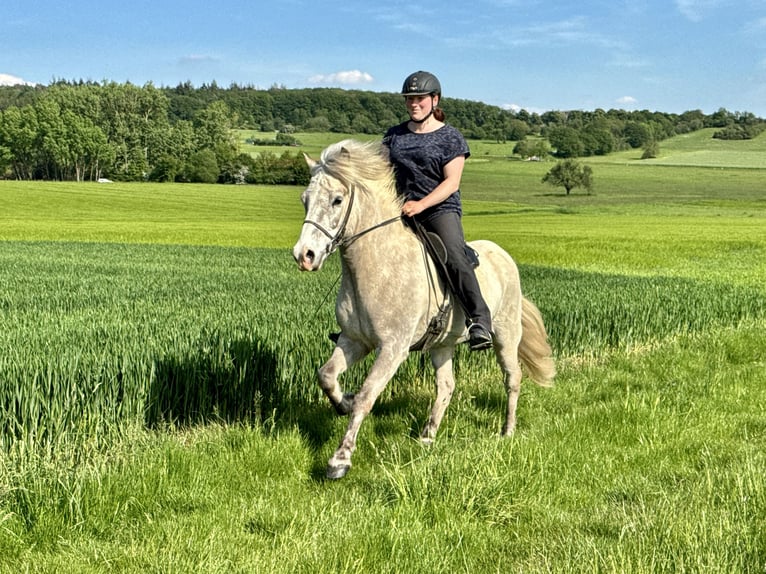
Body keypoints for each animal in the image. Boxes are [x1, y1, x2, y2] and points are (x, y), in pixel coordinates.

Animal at [294, 140, 560, 482]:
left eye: (337, 200)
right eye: (305, 199)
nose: (304, 256)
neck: (376, 266)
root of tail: (503, 255)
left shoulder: (393, 348)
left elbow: (367, 396)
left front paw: (340, 459)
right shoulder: (354, 340)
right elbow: (326, 376)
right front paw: (343, 402)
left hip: (506, 335)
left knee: (512, 378)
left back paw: (507, 431)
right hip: (442, 345)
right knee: (446, 386)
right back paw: (427, 436)